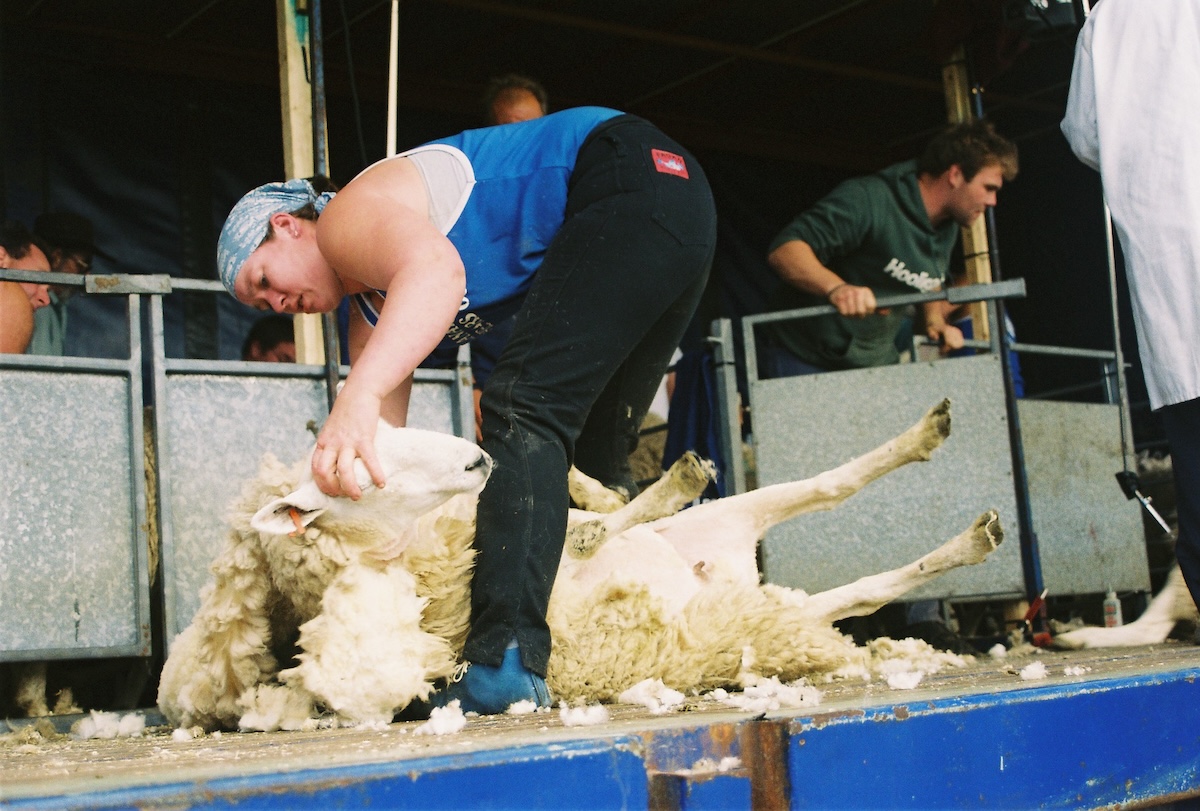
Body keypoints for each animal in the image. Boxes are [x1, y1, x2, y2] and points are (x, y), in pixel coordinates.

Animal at [159, 398, 1003, 729]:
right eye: (360, 475)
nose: (475, 458)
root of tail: (732, 578)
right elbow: (586, 533)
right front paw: (611, 516)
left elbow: (589, 516)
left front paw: (609, 496)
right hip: (761, 605)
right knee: (858, 587)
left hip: (736, 528)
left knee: (836, 491)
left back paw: (933, 451)